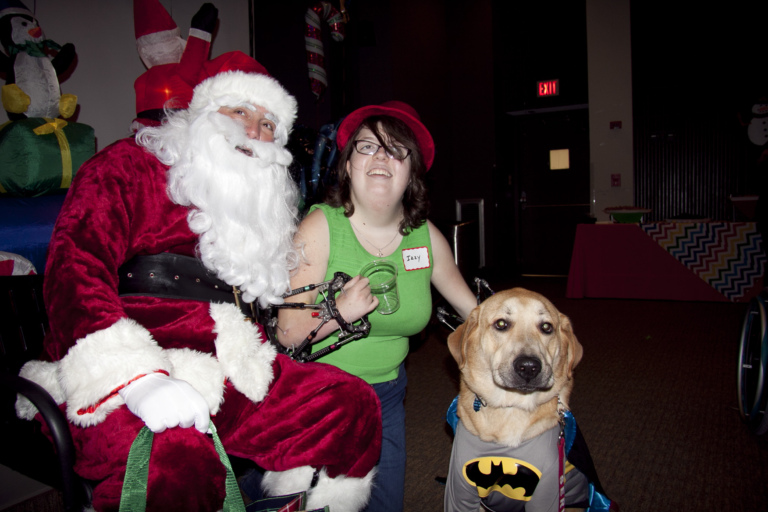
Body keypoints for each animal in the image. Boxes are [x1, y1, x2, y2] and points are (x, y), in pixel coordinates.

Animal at [440, 288, 596, 512]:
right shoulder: (460, 488)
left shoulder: (548, 491)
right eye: (501, 324)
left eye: (546, 327)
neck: (509, 409)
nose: (529, 367)